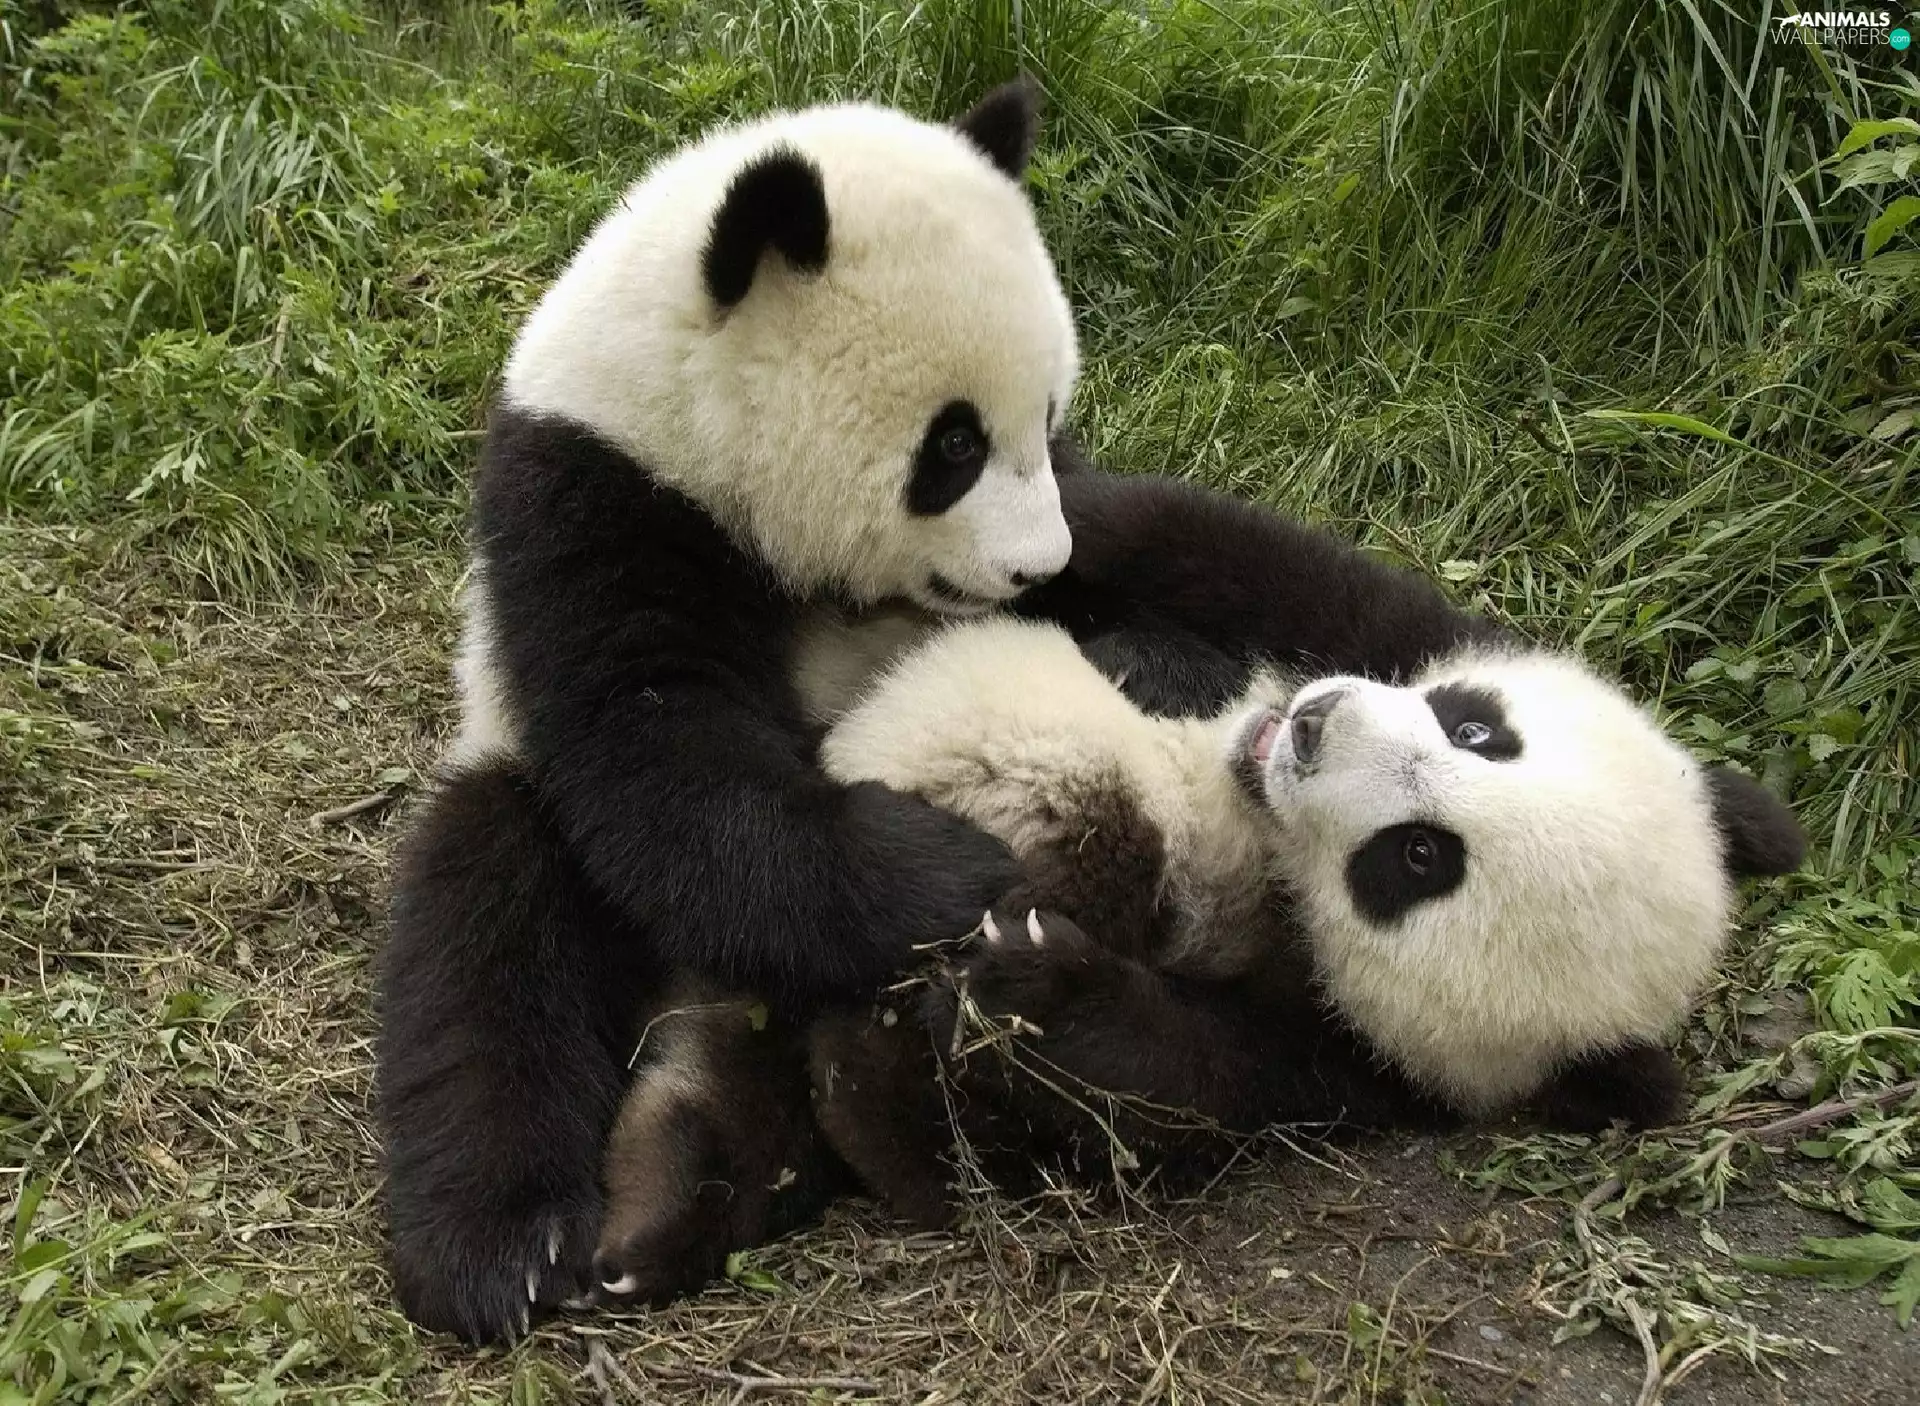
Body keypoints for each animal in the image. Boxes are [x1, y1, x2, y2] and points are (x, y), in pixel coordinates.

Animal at [376, 79, 1087, 1343]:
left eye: (1046, 420)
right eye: (953, 443)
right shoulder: (595, 503)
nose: (1036, 567)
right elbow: (660, 758)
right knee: (484, 943)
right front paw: (949, 868)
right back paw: (512, 1244)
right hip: (504, 789)